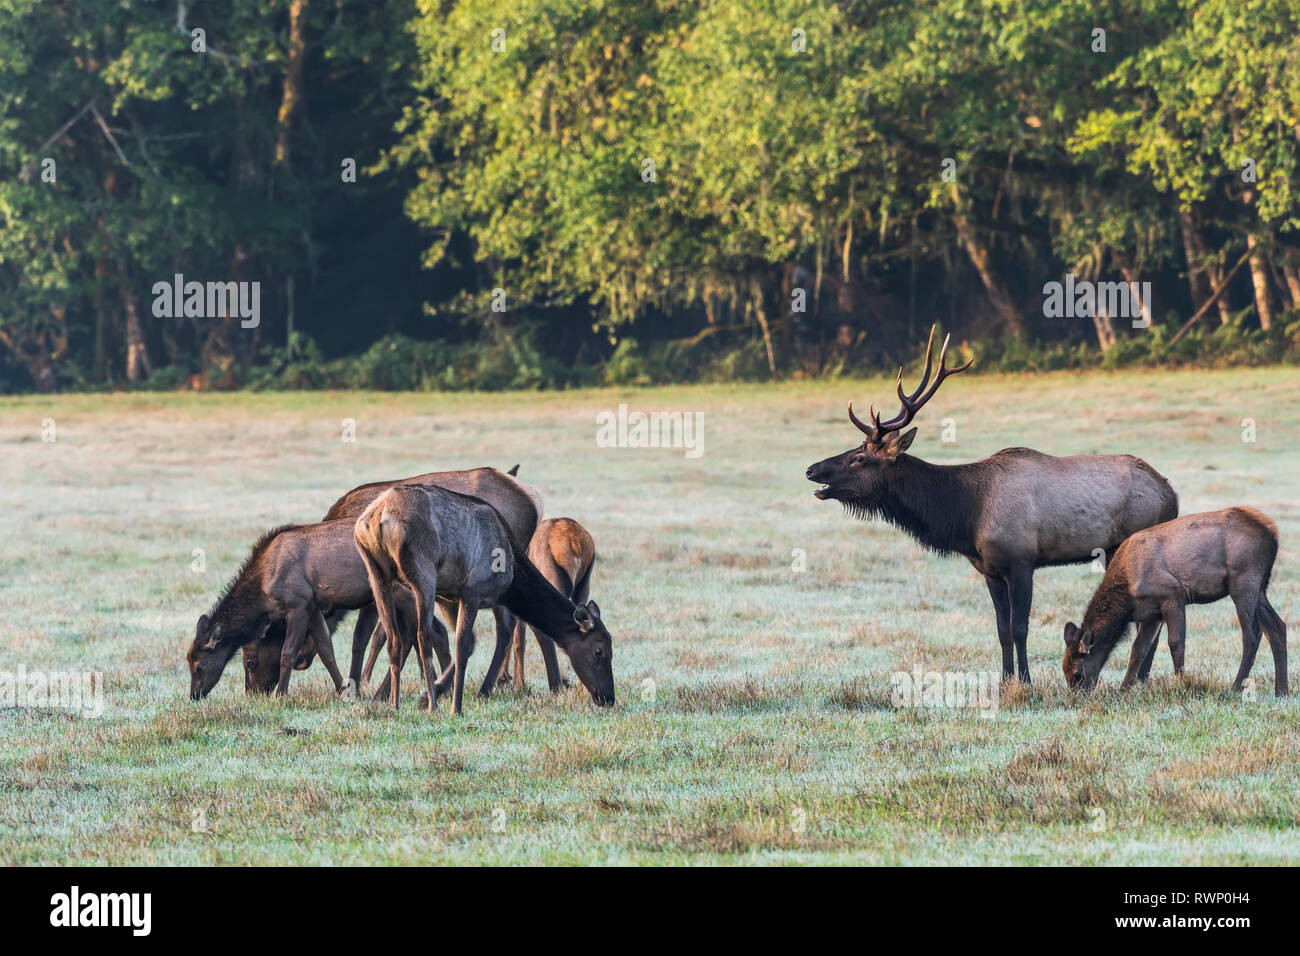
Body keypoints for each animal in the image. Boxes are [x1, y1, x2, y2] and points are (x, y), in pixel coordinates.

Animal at [187, 520, 433, 701]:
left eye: (198, 667)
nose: (194, 695)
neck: (262, 588)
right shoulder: (314, 606)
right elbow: (326, 650)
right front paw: (343, 691)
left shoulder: (299, 603)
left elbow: (288, 652)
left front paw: (280, 695)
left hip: (404, 591)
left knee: (410, 637)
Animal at [354, 483, 615, 715]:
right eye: (599, 650)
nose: (608, 697)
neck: (512, 578)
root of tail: (378, 518)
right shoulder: (472, 591)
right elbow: (463, 646)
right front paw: (454, 707)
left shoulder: (465, 596)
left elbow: (489, 637)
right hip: (422, 571)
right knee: (422, 636)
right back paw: (433, 706)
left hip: (376, 572)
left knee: (393, 638)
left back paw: (395, 705)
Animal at [805, 326, 1179, 683]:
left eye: (859, 458)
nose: (811, 469)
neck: (967, 515)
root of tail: (1171, 493)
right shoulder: (989, 569)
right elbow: (1001, 630)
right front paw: (1005, 679)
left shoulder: (1022, 560)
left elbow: (1020, 627)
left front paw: (1026, 682)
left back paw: (1141, 678)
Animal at [1063, 507, 1287, 695]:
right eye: (1064, 672)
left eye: (1078, 674)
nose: (1077, 698)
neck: (1127, 593)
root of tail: (1273, 534)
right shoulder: (1151, 614)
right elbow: (1139, 649)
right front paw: (1124, 689)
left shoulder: (1173, 594)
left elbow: (1175, 642)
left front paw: (1181, 685)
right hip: (1260, 587)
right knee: (1277, 627)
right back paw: (1281, 690)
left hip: (1243, 580)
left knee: (1252, 633)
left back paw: (1235, 687)